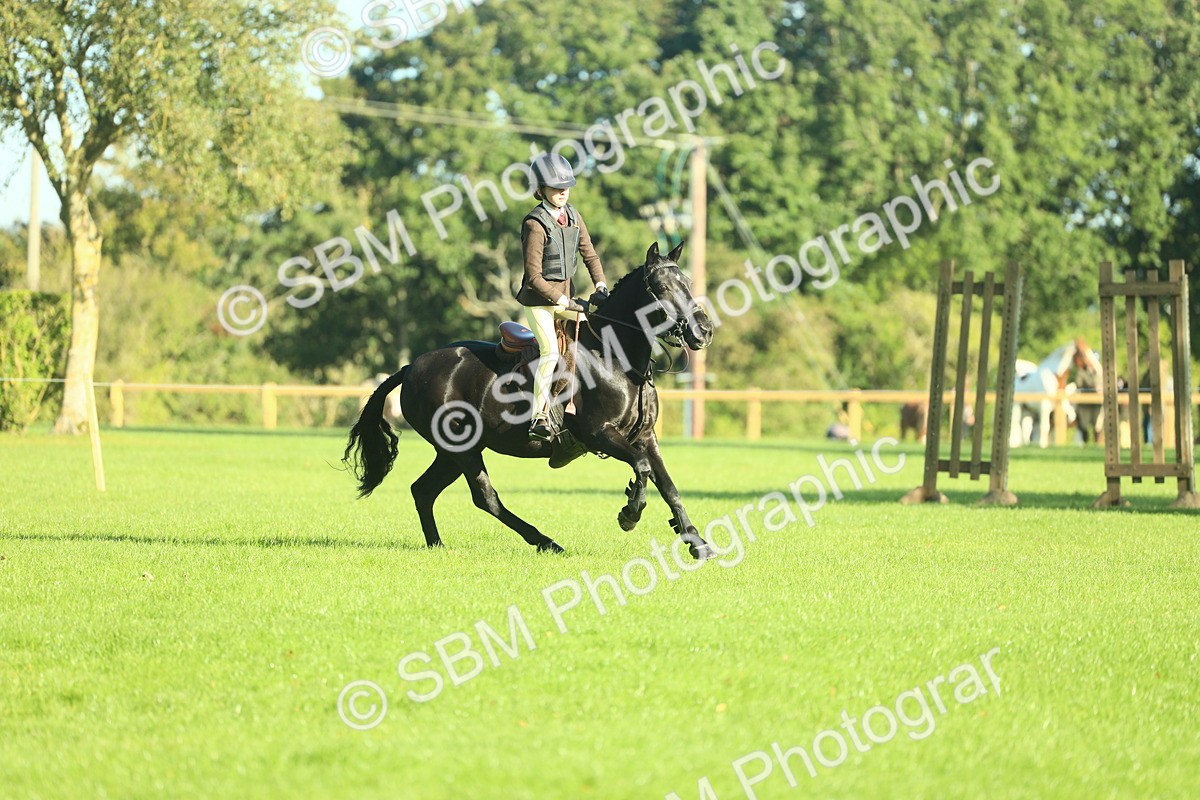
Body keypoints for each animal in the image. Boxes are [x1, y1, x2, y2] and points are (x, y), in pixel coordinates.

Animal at [342, 241, 717, 559]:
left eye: (687, 282)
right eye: (663, 288)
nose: (703, 330)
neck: (616, 359)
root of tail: (412, 367)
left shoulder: (645, 437)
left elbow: (668, 486)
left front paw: (696, 543)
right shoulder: (601, 434)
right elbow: (640, 468)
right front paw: (630, 514)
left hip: (450, 453)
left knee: (424, 490)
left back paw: (437, 545)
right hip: (462, 449)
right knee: (485, 498)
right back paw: (546, 542)